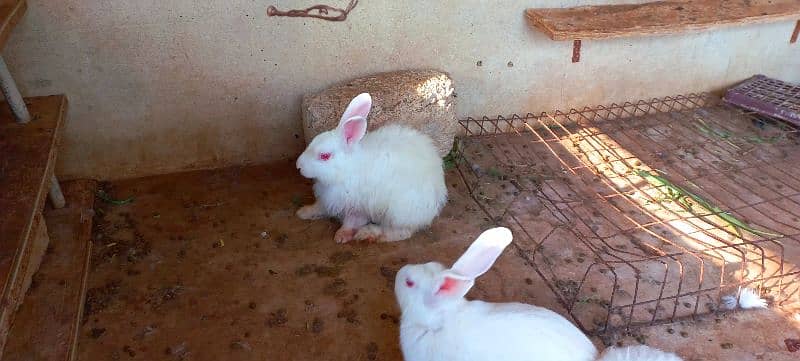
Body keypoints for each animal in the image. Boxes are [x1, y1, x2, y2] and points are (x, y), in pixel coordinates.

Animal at [294, 93, 446, 242]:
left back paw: (368, 233)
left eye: (324, 156)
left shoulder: (358, 208)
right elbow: (319, 207)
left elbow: (351, 222)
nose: (298, 166)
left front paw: (341, 236)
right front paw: (303, 212)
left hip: (397, 211)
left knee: (401, 233)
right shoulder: (327, 199)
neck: (347, 169)